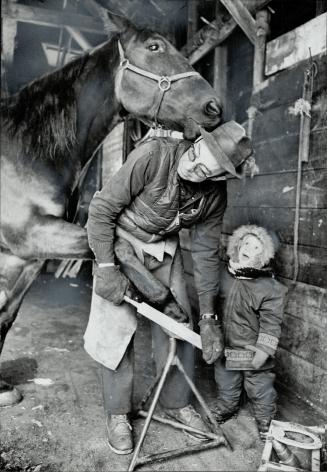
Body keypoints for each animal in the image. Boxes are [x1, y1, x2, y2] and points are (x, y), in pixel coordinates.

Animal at [0, 12, 223, 404]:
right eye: (154, 47)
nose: (213, 107)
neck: (27, 152)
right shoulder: (29, 234)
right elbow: (117, 242)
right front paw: (165, 302)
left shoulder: (26, 256)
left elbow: (5, 319)